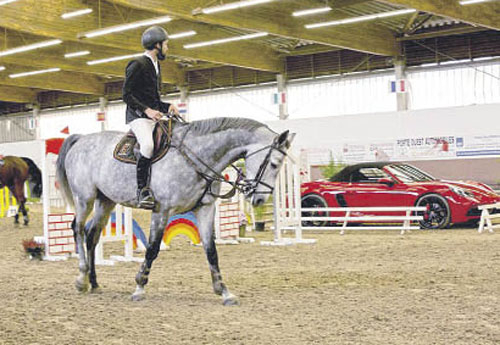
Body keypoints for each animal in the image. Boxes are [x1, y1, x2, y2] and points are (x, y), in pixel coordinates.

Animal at [56, 117, 292, 304]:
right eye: (274, 163)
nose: (260, 199)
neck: (198, 157)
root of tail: (81, 140)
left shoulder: (205, 209)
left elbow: (211, 250)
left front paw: (224, 291)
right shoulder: (162, 210)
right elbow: (152, 249)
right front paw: (139, 287)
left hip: (106, 201)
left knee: (92, 235)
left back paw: (93, 282)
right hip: (84, 199)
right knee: (77, 228)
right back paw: (81, 279)